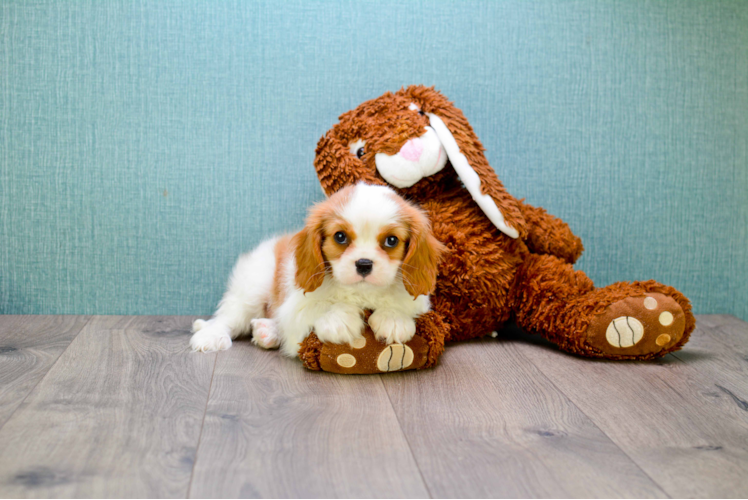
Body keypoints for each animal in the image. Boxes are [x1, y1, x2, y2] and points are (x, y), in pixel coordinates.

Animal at [190, 182, 444, 358]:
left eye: (391, 241)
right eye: (340, 237)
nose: (364, 263)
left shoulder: (419, 303)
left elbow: (401, 307)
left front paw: (393, 318)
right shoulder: (294, 307)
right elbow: (317, 307)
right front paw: (339, 318)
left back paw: (267, 332)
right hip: (253, 287)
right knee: (228, 318)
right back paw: (211, 336)